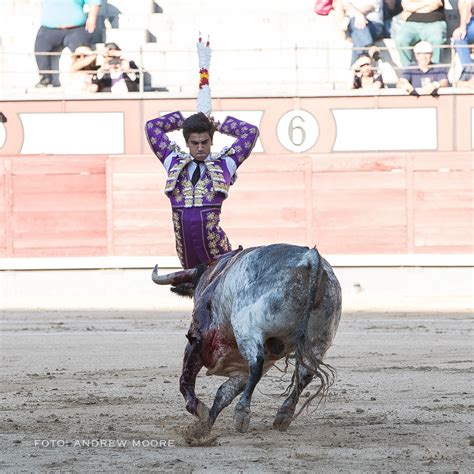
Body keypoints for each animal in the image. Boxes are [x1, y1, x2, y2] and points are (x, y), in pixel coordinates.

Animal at [154, 244, 342, 440]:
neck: (215, 274)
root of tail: (311, 258)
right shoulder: (238, 365)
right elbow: (224, 392)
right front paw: (204, 428)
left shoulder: (197, 339)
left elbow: (186, 379)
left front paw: (200, 412)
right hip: (320, 339)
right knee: (305, 373)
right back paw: (284, 415)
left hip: (249, 330)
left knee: (256, 364)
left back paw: (242, 414)